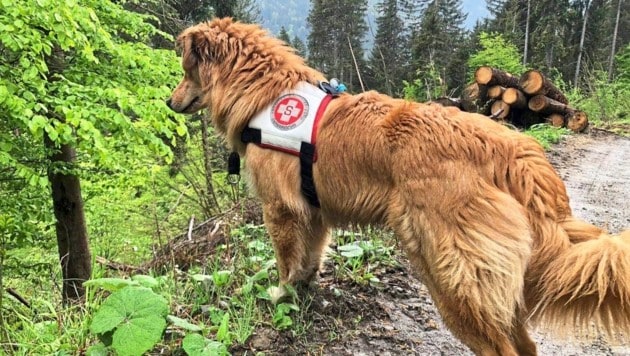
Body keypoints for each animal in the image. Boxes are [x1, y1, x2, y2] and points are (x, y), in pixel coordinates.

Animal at [168, 18, 630, 356]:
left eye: (185, 71)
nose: (171, 102)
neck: (264, 92)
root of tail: (513, 151)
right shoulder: (314, 210)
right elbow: (310, 260)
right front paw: (303, 292)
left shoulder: (280, 209)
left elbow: (285, 261)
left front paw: (281, 296)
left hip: (453, 278)